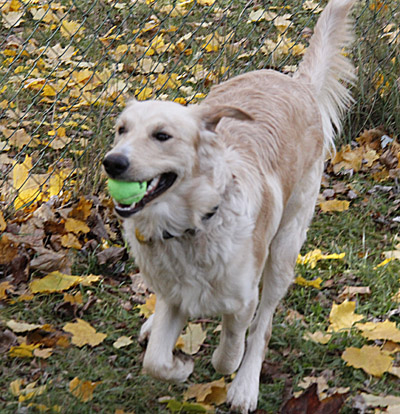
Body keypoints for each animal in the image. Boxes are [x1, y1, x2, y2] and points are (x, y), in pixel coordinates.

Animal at [103, 0, 355, 411]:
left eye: (162, 136)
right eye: (121, 130)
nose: (113, 162)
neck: (192, 226)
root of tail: (297, 83)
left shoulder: (242, 300)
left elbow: (230, 351)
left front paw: (222, 369)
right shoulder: (174, 294)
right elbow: (155, 360)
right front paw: (179, 366)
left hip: (284, 248)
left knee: (263, 327)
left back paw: (245, 386)